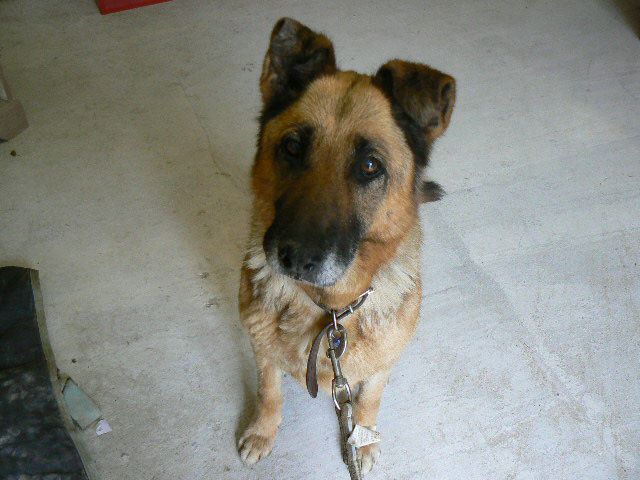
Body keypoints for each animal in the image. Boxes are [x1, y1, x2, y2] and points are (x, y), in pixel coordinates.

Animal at [238, 18, 456, 474]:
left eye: (369, 166)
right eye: (292, 147)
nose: (296, 258)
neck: (331, 311)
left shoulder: (380, 368)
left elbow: (369, 399)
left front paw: (362, 439)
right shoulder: (261, 350)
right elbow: (269, 392)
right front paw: (263, 431)